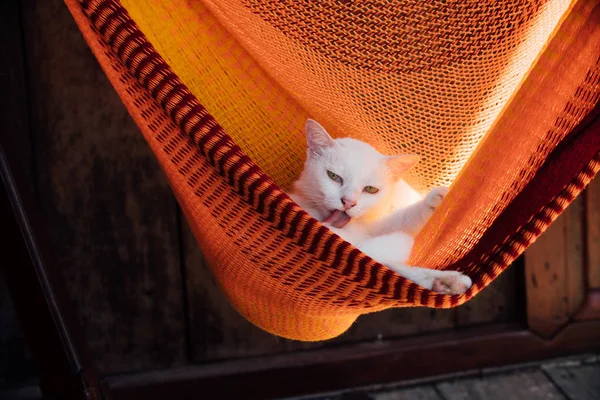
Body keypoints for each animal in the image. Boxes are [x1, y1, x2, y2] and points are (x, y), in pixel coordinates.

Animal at [288, 119, 472, 294]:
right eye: (333, 176)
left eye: (370, 189)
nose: (348, 202)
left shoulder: (373, 227)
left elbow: (402, 221)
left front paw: (435, 201)